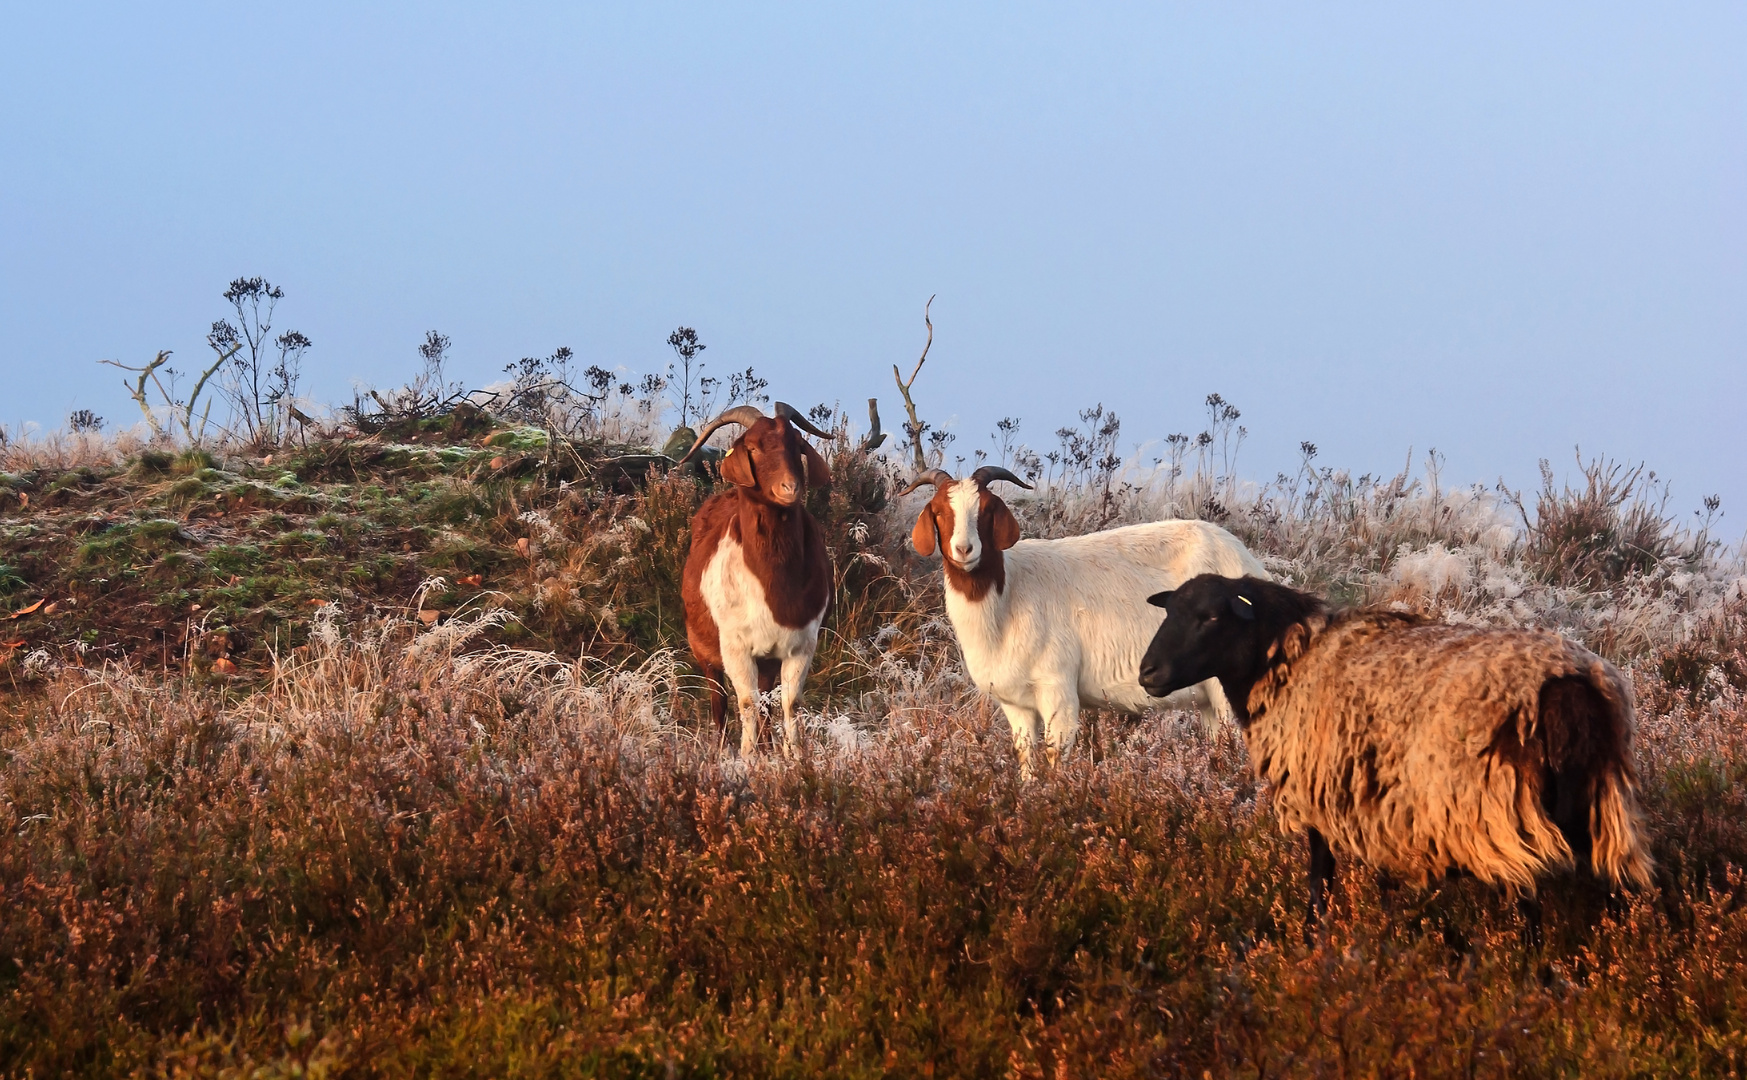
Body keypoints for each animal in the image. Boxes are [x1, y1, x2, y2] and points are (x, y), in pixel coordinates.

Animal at [674, 400, 831, 751]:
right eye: (754, 448)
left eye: (797, 443)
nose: (789, 487)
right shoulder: (735, 646)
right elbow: (746, 703)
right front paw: (747, 757)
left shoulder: (801, 645)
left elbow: (789, 704)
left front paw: (793, 756)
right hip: (704, 649)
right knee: (719, 701)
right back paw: (720, 748)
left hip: (768, 660)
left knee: (767, 702)